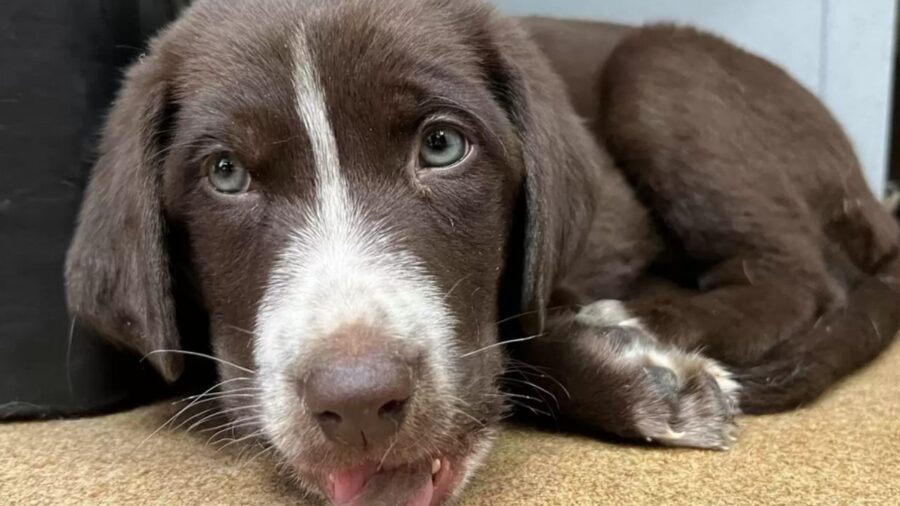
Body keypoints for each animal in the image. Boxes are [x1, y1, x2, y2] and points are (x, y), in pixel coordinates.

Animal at [65, 1, 900, 504]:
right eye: (225, 174)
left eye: (442, 146)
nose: (359, 403)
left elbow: (517, 336)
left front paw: (638, 370)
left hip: (663, 75)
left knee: (800, 276)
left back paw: (652, 314)